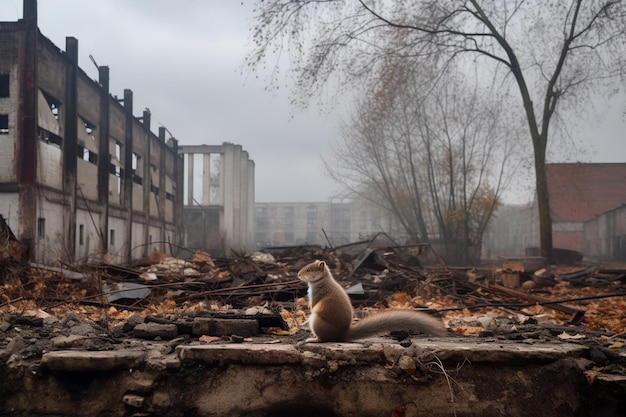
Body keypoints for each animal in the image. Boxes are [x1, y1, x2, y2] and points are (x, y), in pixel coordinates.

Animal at [296, 260, 446, 342]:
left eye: (309, 270)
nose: (298, 274)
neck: (322, 280)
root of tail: (342, 335)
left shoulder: (317, 294)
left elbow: (314, 305)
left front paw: (309, 308)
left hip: (317, 322)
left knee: (323, 339)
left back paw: (312, 339)